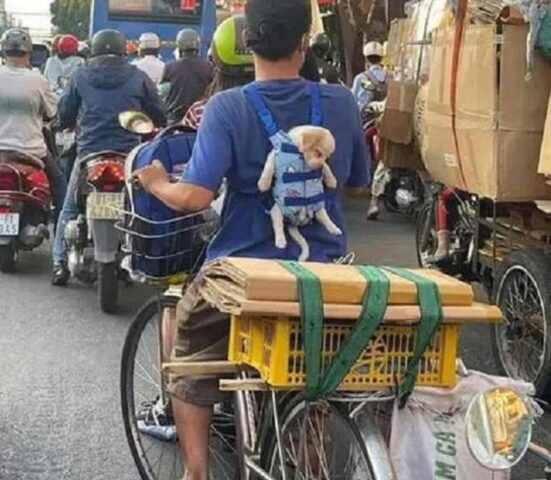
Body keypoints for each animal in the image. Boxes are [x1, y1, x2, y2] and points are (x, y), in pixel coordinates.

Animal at [258, 124, 340, 258]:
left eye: (326, 157)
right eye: (318, 153)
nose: (319, 167)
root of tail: (294, 222)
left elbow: (327, 168)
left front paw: (331, 180)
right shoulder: (273, 154)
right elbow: (268, 167)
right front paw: (263, 183)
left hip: (318, 207)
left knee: (325, 219)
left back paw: (334, 228)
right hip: (277, 210)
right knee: (278, 225)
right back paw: (280, 241)